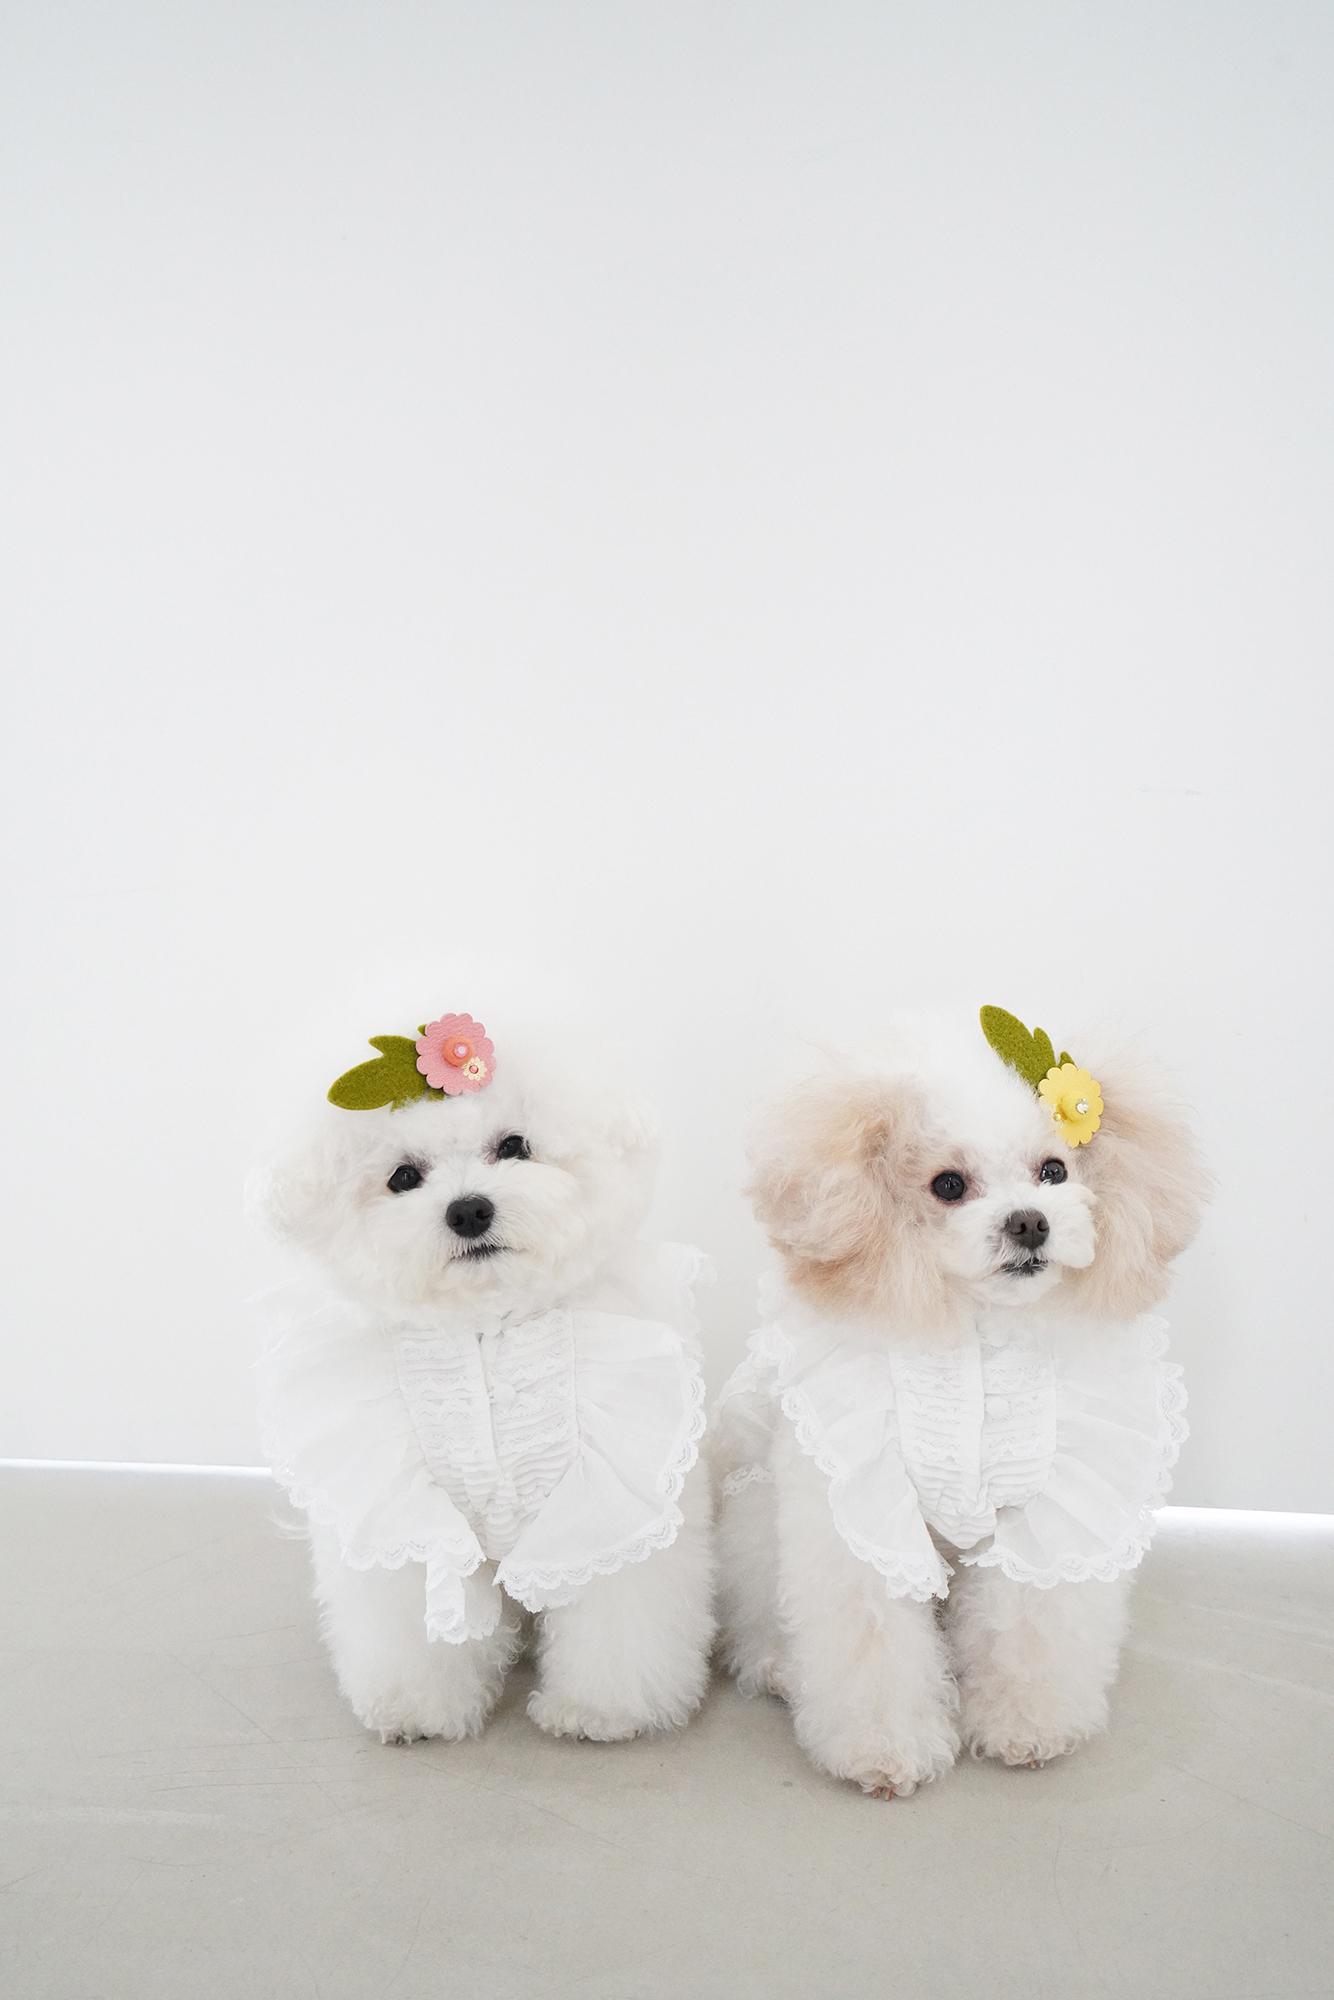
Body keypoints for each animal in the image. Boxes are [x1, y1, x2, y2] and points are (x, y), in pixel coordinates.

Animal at [251, 1006, 715, 1745]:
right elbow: (417, 1622)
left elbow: (618, 1614)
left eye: (515, 1145)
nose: (468, 1209)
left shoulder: (611, 1504)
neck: (488, 1330)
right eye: (403, 1177)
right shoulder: (406, 1517)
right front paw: (419, 1706)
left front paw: (603, 1710)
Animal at [712, 1007, 1211, 1796]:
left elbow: (1030, 1620)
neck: (981, 1328)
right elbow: (872, 1639)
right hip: (758, 1515)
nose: (1030, 1221)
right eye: (948, 1184)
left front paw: (1027, 1726)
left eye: (1054, 1170)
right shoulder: (861, 1512)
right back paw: (774, 1665)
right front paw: (884, 1749)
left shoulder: (1046, 1515)